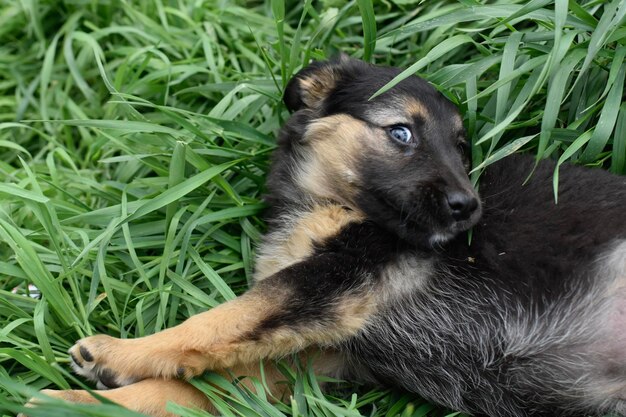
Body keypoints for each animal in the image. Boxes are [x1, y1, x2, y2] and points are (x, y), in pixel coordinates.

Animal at [26, 56, 624, 416]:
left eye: (461, 150)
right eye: (401, 133)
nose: (468, 210)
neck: (325, 204)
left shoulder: (334, 278)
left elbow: (217, 319)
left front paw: (118, 353)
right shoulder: (309, 351)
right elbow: (183, 387)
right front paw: (70, 403)